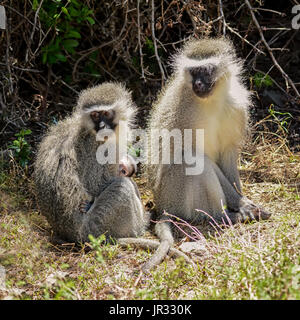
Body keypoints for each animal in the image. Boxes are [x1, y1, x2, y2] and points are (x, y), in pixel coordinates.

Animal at [145, 38, 272, 272]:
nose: (198, 84)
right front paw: (241, 205)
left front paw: (242, 200)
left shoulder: (235, 107)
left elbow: (228, 153)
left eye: (206, 70)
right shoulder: (183, 112)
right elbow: (197, 157)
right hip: (174, 194)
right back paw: (225, 216)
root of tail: (163, 206)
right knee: (193, 160)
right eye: (194, 72)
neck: (212, 101)